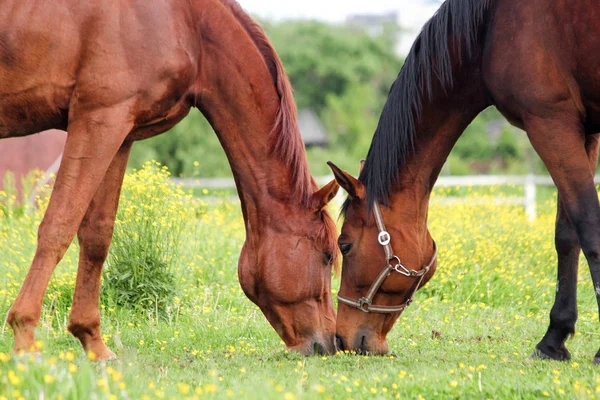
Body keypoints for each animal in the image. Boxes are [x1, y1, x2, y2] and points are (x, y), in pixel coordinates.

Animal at [1, 0, 342, 356]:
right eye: (328, 255)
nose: (329, 343)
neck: (186, 25)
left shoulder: (121, 132)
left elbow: (97, 235)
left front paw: (93, 342)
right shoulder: (99, 118)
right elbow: (59, 226)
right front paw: (24, 336)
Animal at [330, 0, 600, 362]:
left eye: (344, 245)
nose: (342, 339)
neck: (490, 25)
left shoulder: (550, 121)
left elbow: (589, 227)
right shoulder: (584, 129)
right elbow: (566, 234)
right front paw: (554, 338)